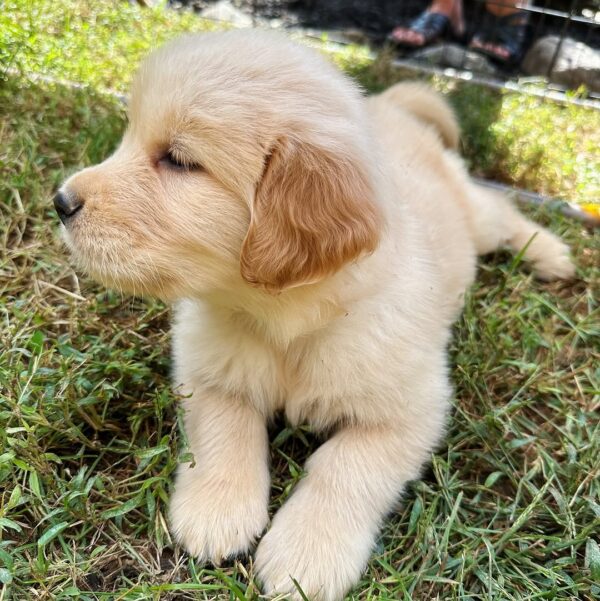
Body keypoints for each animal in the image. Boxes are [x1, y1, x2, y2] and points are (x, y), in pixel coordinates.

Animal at [55, 29, 572, 600]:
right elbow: (224, 430)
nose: (60, 201)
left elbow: (345, 468)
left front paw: (306, 556)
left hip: (475, 219)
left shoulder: (412, 410)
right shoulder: (207, 370)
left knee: (500, 212)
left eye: (179, 161)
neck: (287, 323)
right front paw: (215, 511)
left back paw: (552, 253)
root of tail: (389, 107)